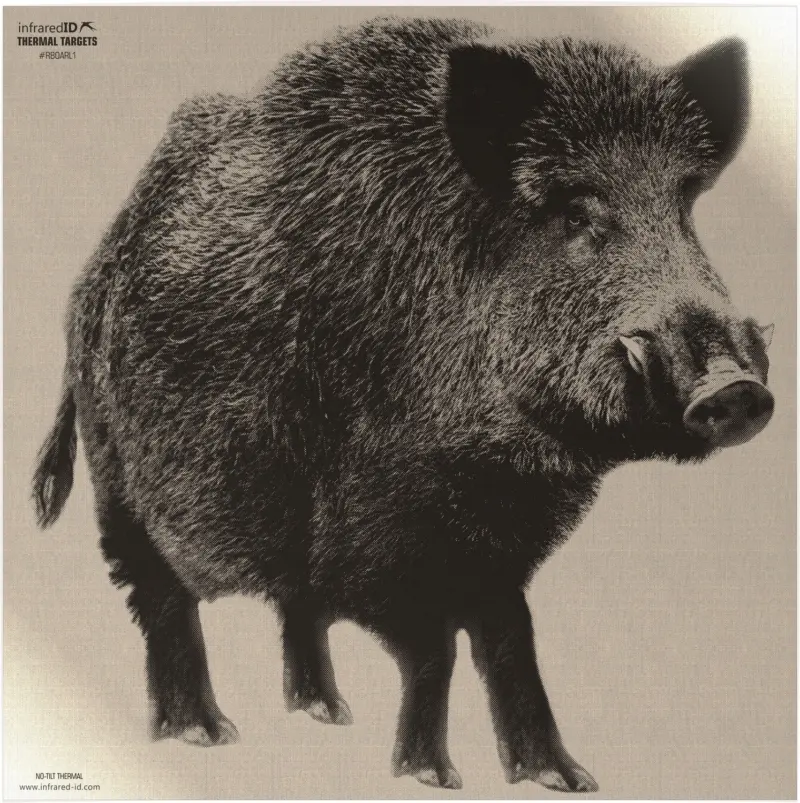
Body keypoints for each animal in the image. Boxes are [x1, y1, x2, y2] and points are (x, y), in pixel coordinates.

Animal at [32, 17, 774, 792]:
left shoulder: (499, 539)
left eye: (684, 206)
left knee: (293, 606)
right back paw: (204, 734)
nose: (733, 387)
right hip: (119, 477)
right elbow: (435, 649)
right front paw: (432, 776)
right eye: (576, 213)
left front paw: (564, 780)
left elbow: (510, 639)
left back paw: (327, 713)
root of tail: (91, 276)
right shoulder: (384, 528)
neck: (497, 461)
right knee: (160, 598)